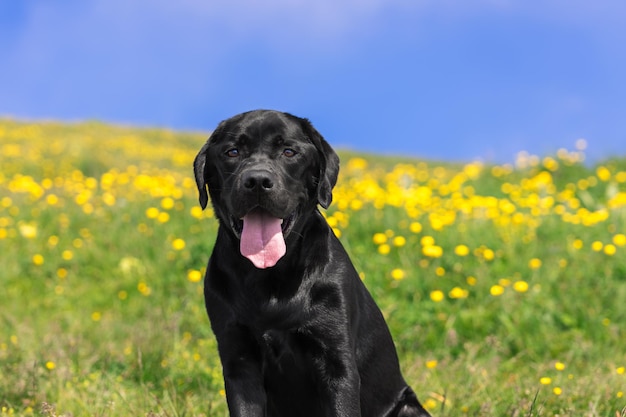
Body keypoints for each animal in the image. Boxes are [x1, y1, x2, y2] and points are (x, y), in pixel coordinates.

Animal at [194, 109, 428, 414]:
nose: (257, 181)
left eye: (289, 151)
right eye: (232, 152)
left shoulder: (336, 362)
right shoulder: (238, 360)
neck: (269, 279)